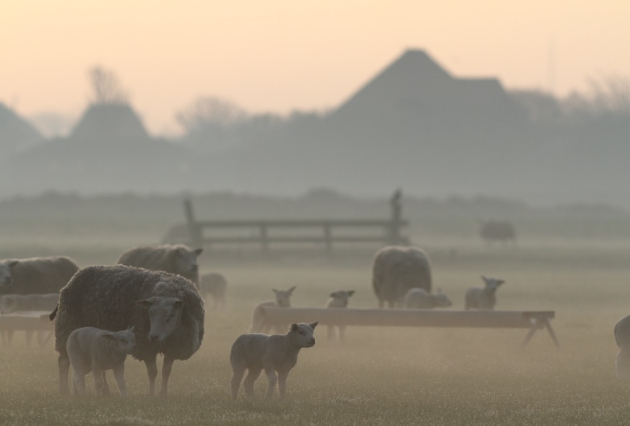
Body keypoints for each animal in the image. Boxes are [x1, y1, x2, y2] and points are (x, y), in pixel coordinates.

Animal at [52, 266, 205, 396]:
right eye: (150, 312)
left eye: (172, 315)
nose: (153, 336)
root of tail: (74, 276)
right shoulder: (146, 347)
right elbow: (153, 372)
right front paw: (151, 394)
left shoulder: (173, 347)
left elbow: (166, 372)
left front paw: (163, 394)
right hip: (67, 326)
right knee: (63, 361)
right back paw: (63, 390)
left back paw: (106, 392)